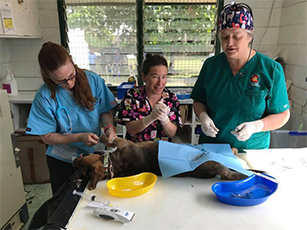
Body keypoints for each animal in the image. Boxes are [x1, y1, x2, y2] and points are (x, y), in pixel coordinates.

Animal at [74, 135, 248, 190]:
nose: (75, 158)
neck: (111, 165)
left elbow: (109, 139)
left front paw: (102, 137)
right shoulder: (120, 142)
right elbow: (111, 139)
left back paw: (234, 150)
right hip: (214, 161)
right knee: (227, 174)